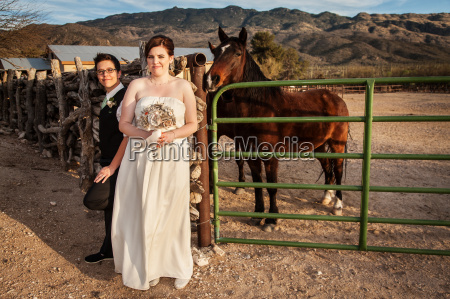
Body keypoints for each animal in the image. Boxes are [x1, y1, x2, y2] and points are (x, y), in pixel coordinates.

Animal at [206, 27, 350, 232]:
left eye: (237, 53)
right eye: (216, 52)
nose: (211, 79)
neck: (258, 107)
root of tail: (335, 97)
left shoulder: (270, 156)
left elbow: (271, 186)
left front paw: (271, 220)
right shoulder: (251, 154)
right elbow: (258, 184)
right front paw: (257, 215)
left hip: (337, 144)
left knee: (337, 169)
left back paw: (337, 205)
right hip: (320, 145)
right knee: (327, 167)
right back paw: (326, 197)